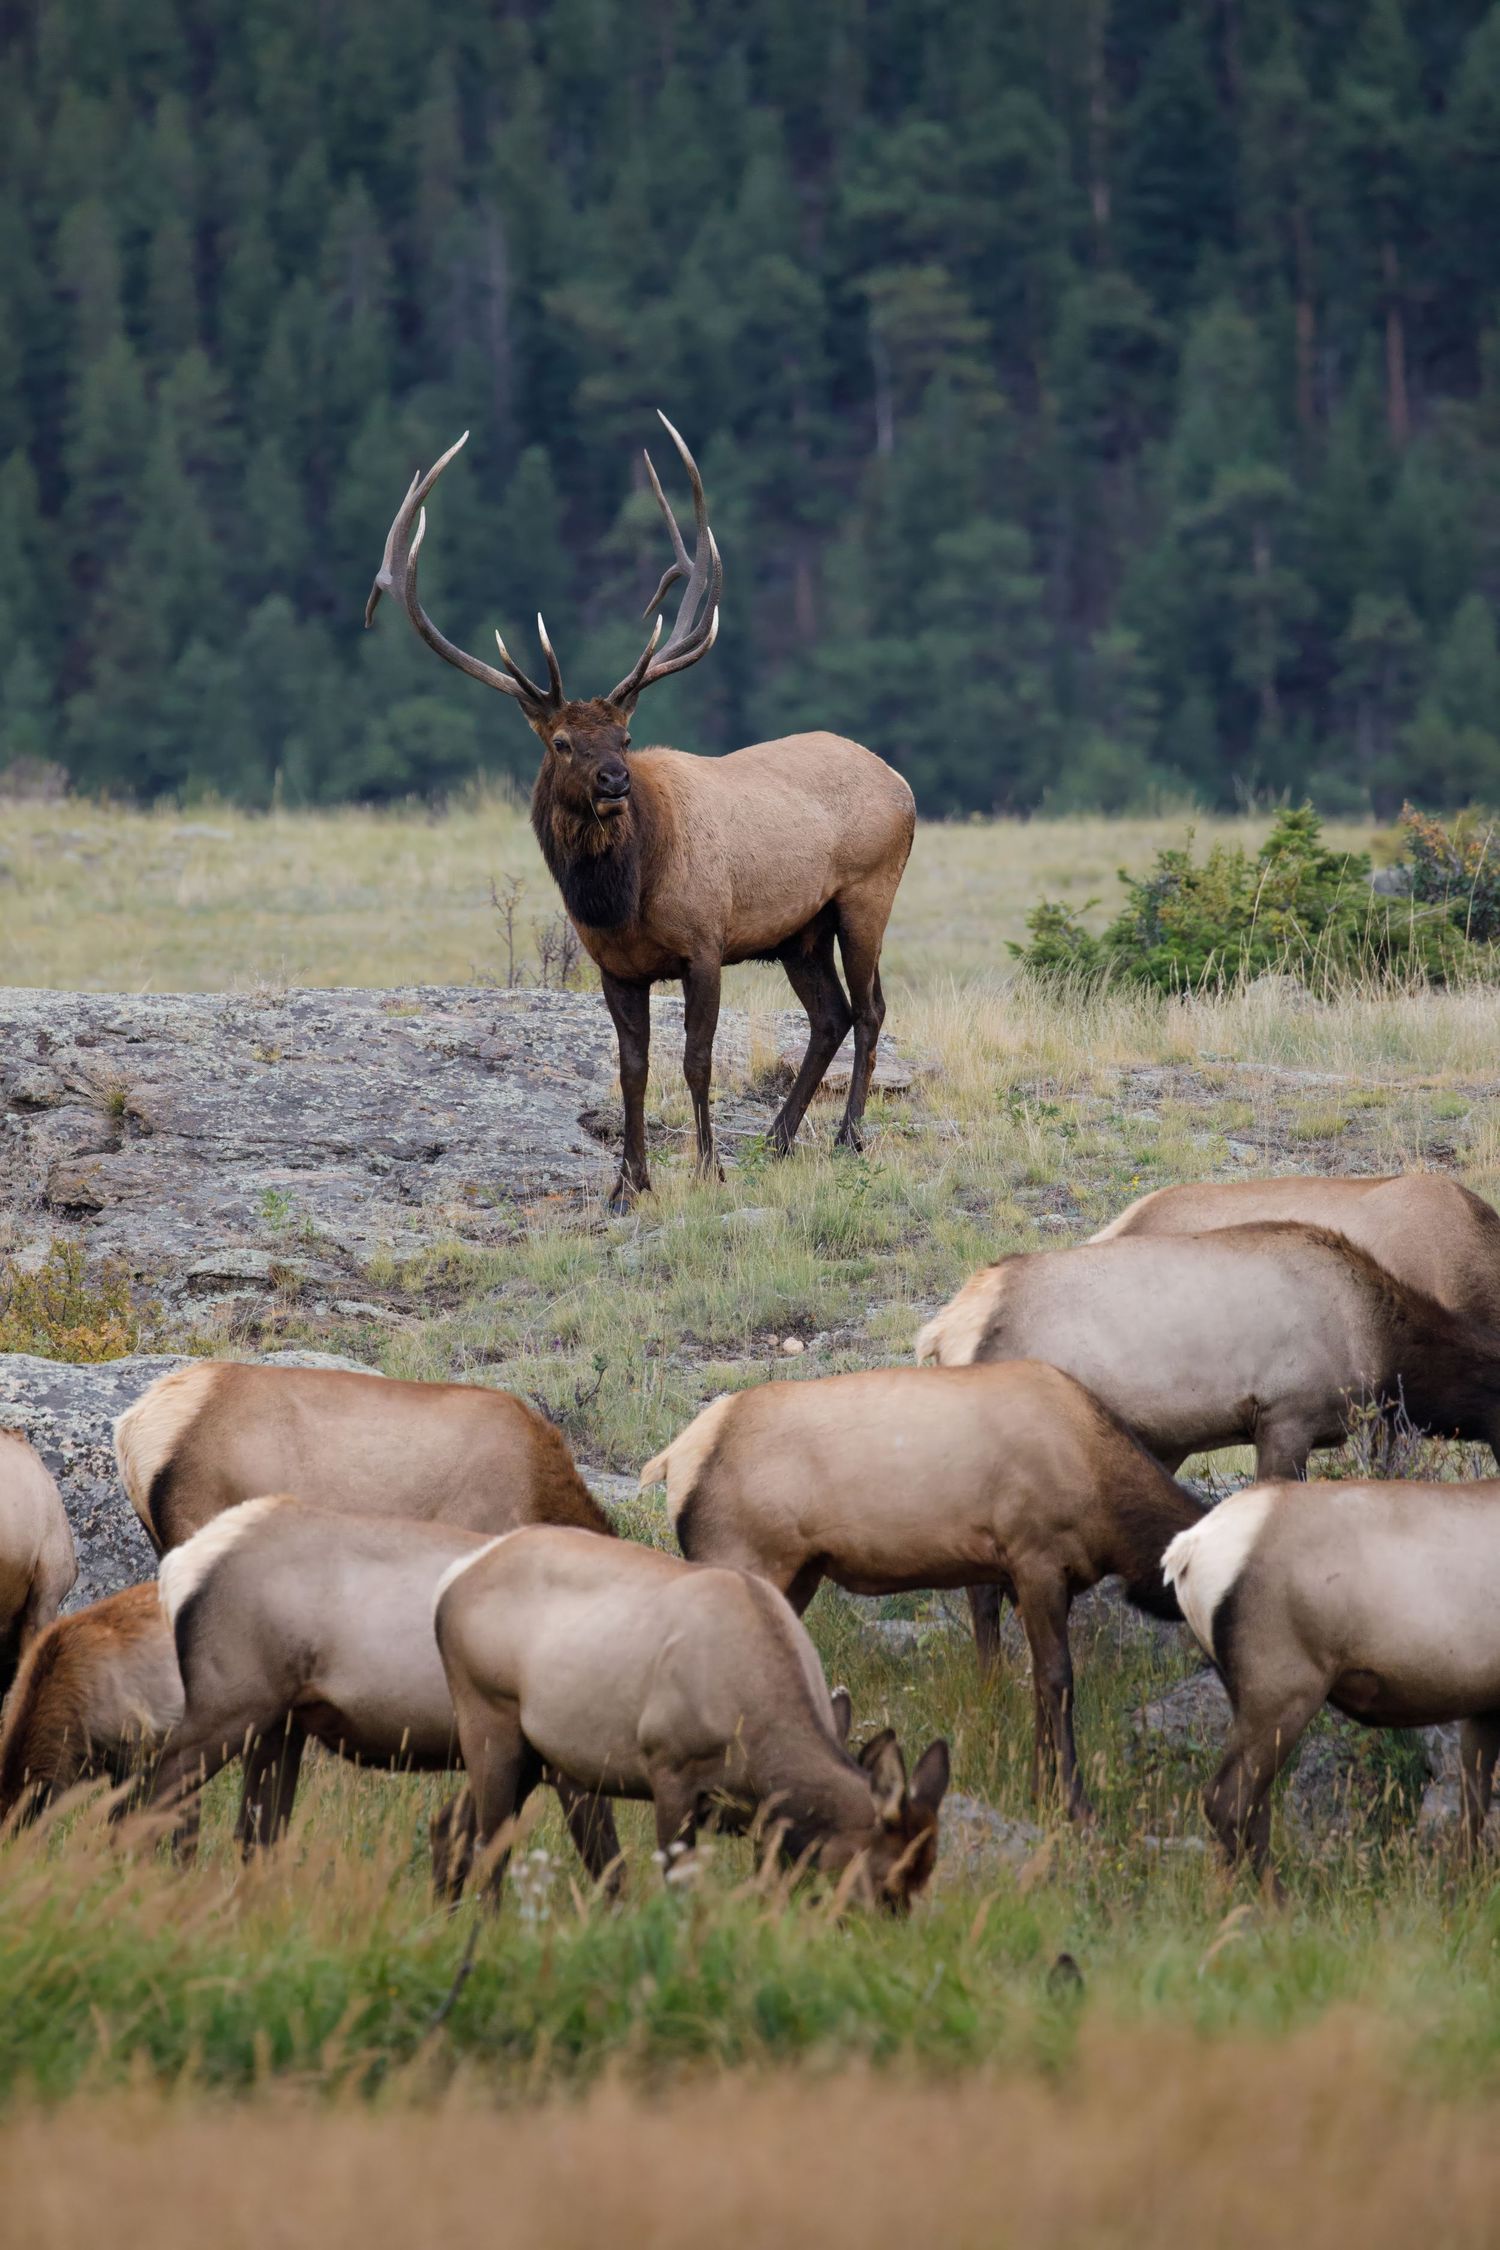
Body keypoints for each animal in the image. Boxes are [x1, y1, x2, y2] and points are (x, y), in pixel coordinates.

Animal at [143, 1498, 622, 1877]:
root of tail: (178, 1566)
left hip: (280, 1724)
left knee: (254, 1831)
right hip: (230, 1704)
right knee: (158, 1785)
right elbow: (607, 1864)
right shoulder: (567, 1760)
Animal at [365, 417, 916, 1208]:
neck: (620, 898)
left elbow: (696, 1060)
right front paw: (628, 1185)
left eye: (625, 735)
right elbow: (632, 1069)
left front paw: (708, 1169)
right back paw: (778, 1140)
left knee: (870, 1008)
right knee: (830, 1015)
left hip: (867, 892)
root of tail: (901, 782)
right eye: (561, 741)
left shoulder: (705, 943)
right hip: (798, 932)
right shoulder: (614, 966)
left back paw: (846, 1138)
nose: (615, 780)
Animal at [432, 1526, 949, 1911]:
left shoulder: (762, 1816)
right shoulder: (670, 1769)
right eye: (887, 1881)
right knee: (490, 1846)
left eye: (926, 1875)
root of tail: (452, 1580)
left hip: (534, 1752)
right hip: (486, 1716)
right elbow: (678, 1886)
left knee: (453, 1821)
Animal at [639, 1361, 1203, 1821]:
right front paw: (1074, 1805)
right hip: (742, 1560)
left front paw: (1040, 1789)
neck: (1104, 1499)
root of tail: (671, 1460)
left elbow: (1033, 1681)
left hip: (798, 1575)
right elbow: (1057, 1679)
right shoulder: (1036, 1558)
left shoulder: (1019, 1577)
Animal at [1163, 1478, 1500, 1884]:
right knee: (1226, 1800)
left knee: (1254, 1806)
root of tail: (1185, 1551)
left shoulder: (1486, 1706)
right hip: (1285, 1688)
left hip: (1242, 1692)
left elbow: (1473, 1804)